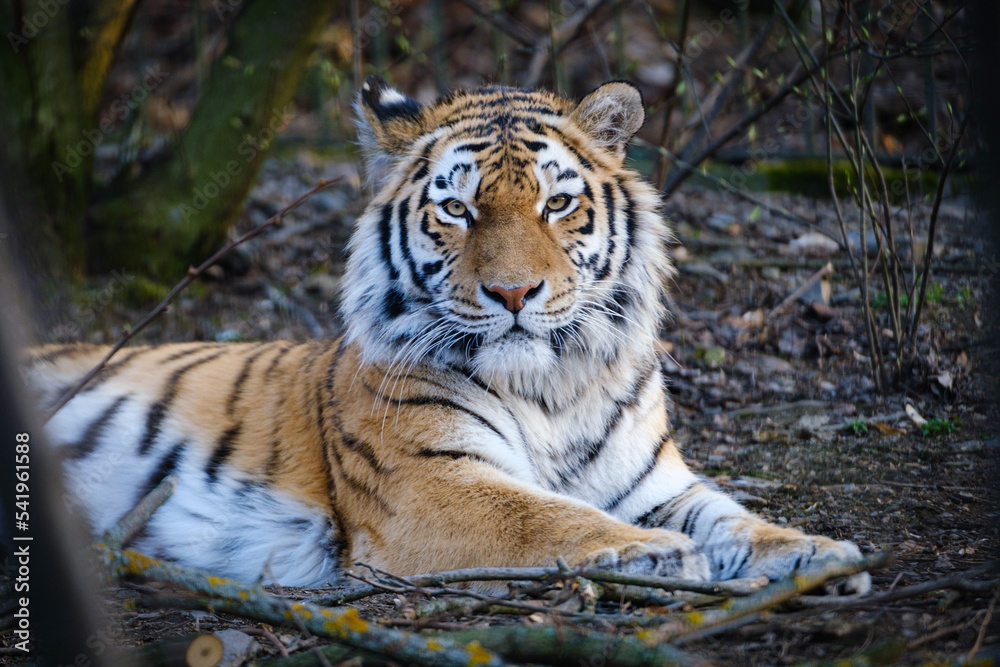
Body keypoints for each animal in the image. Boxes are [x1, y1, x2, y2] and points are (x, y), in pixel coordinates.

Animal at [26, 76, 870, 594]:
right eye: (458, 209)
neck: (550, 386)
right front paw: (657, 554)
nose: (514, 292)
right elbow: (543, 515)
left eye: (557, 204)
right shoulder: (429, 484)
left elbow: (733, 516)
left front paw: (817, 552)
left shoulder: (656, 484)